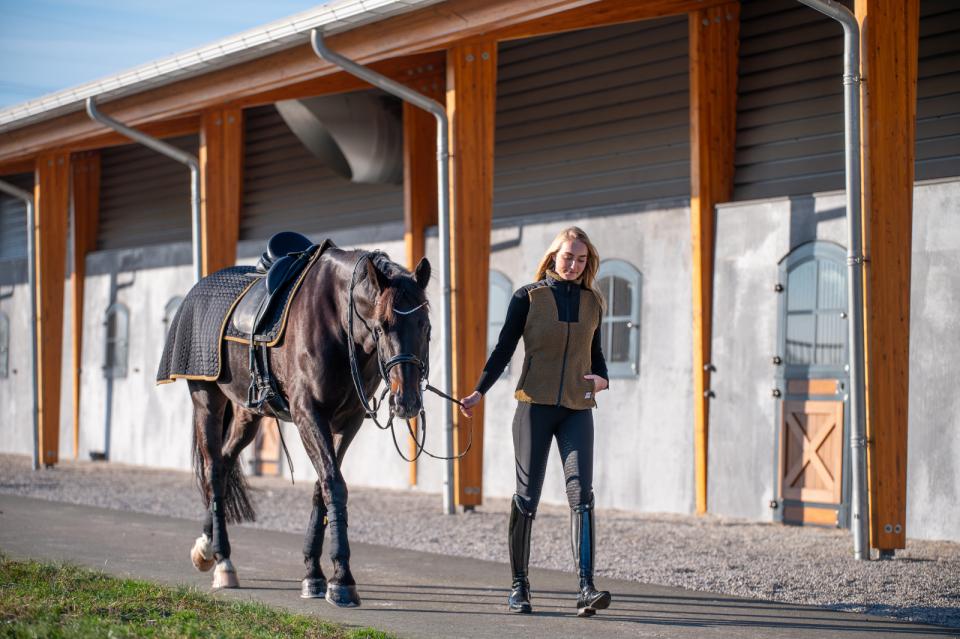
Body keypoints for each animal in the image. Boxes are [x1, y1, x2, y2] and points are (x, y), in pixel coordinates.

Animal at [185, 248, 432, 608]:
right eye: (382, 326)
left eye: (424, 324)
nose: (407, 400)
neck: (339, 324)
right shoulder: (308, 415)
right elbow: (333, 484)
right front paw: (342, 580)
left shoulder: (347, 421)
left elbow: (322, 488)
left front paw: (314, 574)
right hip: (207, 401)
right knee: (214, 469)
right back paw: (223, 562)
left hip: (247, 414)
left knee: (226, 462)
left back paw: (205, 548)